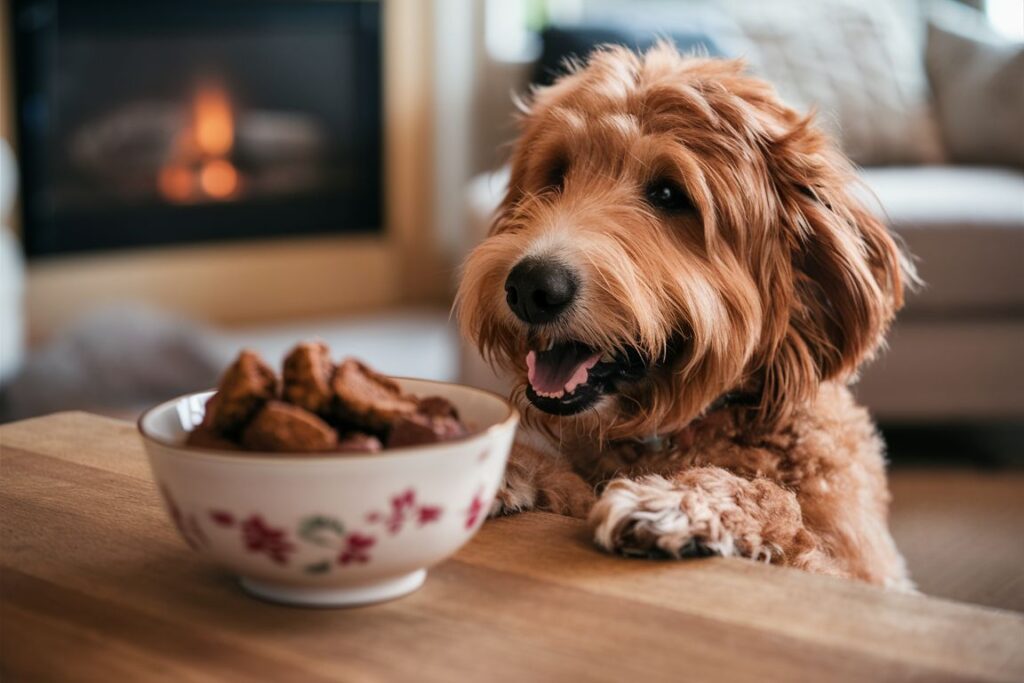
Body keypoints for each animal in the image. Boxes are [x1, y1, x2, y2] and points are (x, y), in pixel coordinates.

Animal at [458, 42, 921, 589]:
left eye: (668, 195)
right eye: (556, 176)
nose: (531, 288)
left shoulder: (865, 572)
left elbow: (789, 520)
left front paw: (682, 502)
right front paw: (500, 464)